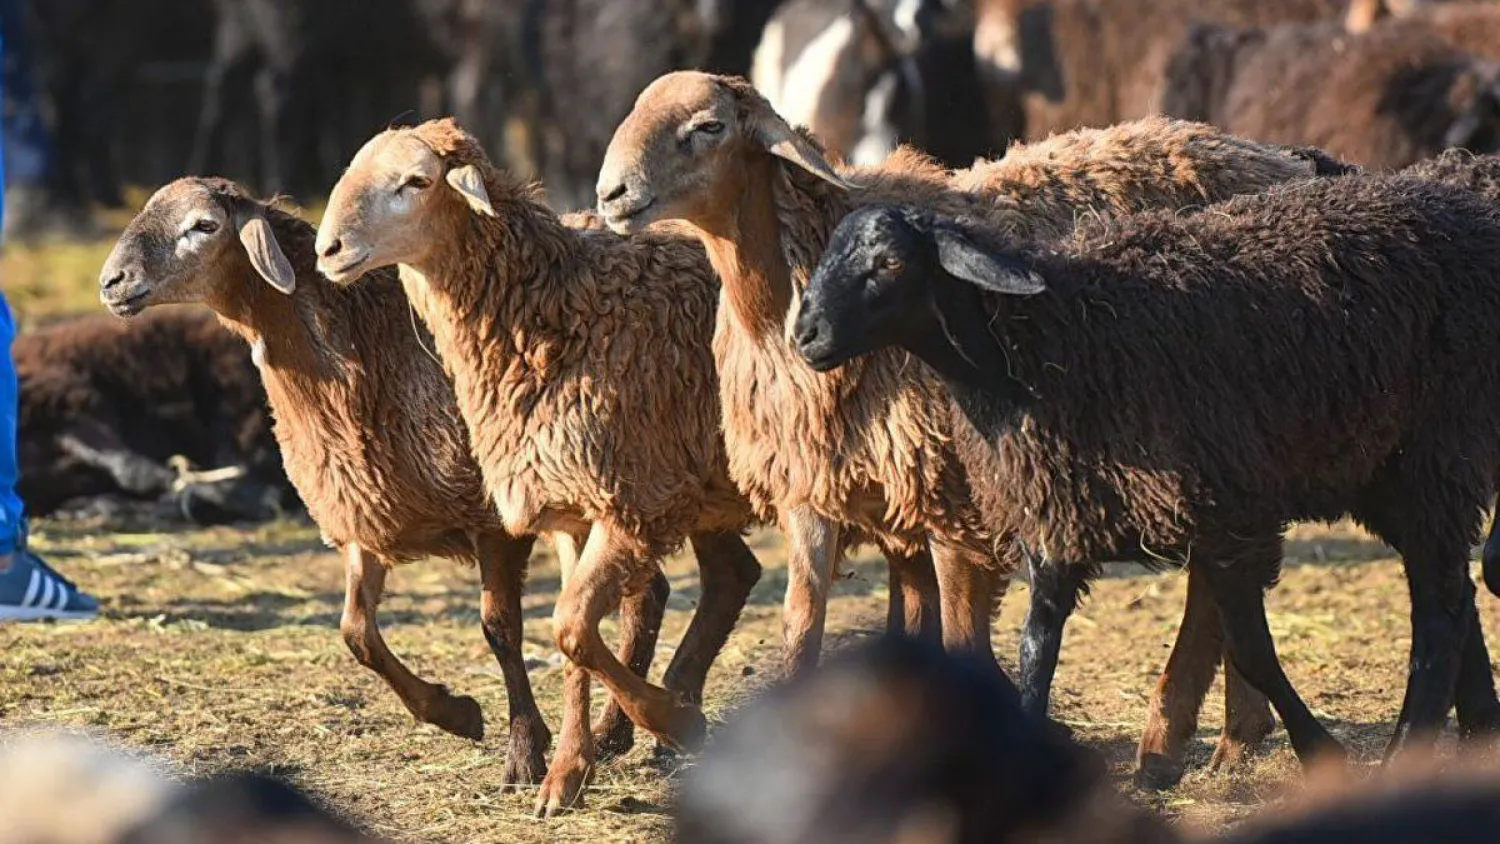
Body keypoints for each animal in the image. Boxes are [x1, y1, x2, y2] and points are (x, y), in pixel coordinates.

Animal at [313, 120, 762, 821]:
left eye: (416, 181)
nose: (327, 249)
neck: (558, 313)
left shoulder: (625, 500)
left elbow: (571, 628)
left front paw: (665, 722)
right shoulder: (572, 509)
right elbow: (572, 643)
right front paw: (568, 774)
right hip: (703, 484)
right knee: (734, 575)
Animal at [597, 72, 1362, 773]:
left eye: (708, 126)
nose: (609, 195)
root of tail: (1280, 157)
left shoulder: (953, 496)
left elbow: (963, 639)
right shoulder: (813, 490)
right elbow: (800, 633)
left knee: (1216, 579)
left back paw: (1176, 738)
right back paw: (1229, 736)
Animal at [798, 175, 1500, 773]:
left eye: (890, 263)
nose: (805, 334)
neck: (1042, 346)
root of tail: (1460, 206)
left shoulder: (1227, 517)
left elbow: (1252, 652)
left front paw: (1320, 751)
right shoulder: (1060, 518)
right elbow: (1036, 647)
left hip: (1437, 454)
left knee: (1439, 614)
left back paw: (1406, 753)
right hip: (1387, 473)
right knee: (1458, 598)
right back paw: (1476, 733)